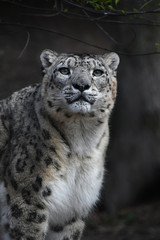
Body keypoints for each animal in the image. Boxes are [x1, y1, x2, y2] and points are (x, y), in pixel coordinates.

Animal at [0, 49, 119, 240]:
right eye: (64, 70)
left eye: (97, 72)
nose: (81, 85)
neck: (82, 142)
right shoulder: (29, 199)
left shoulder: (73, 207)